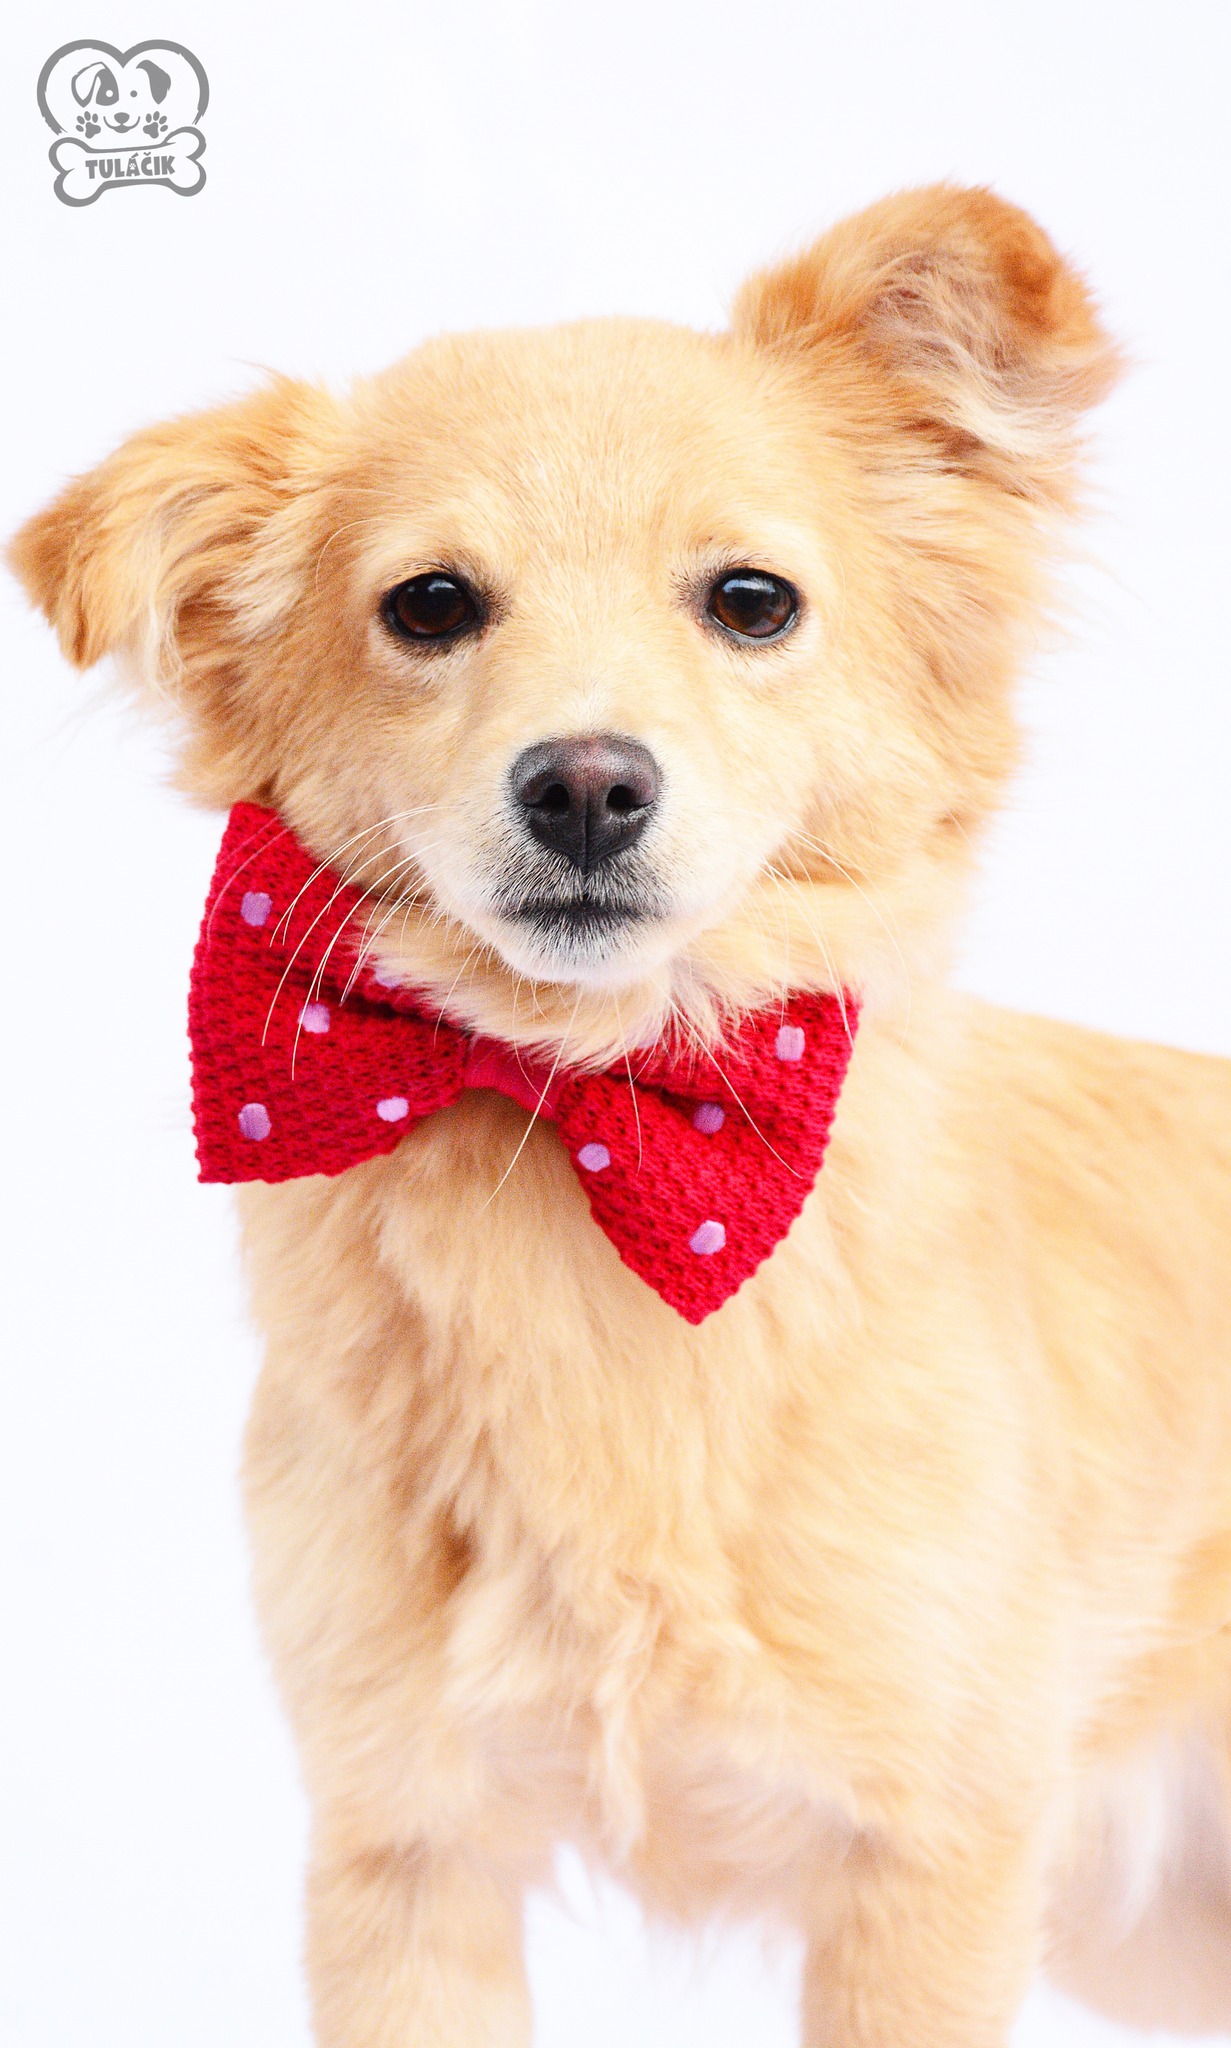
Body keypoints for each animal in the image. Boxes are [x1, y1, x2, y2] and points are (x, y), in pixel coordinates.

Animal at [11, 185, 1231, 2044]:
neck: (588, 1119)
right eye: (430, 606)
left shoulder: (933, 1867)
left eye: (751, 601)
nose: (585, 783)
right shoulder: (400, 1848)